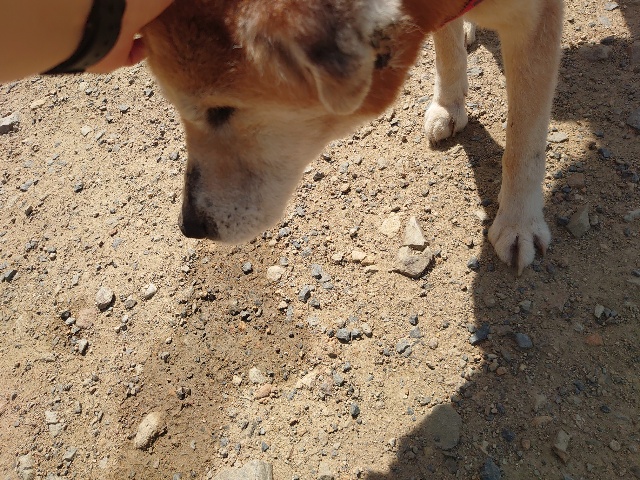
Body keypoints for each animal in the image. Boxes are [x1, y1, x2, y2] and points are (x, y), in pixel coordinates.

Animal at [142, 0, 563, 274]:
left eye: (220, 110)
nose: (188, 226)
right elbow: (446, 46)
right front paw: (449, 105)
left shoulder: (535, 21)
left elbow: (524, 140)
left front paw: (520, 222)